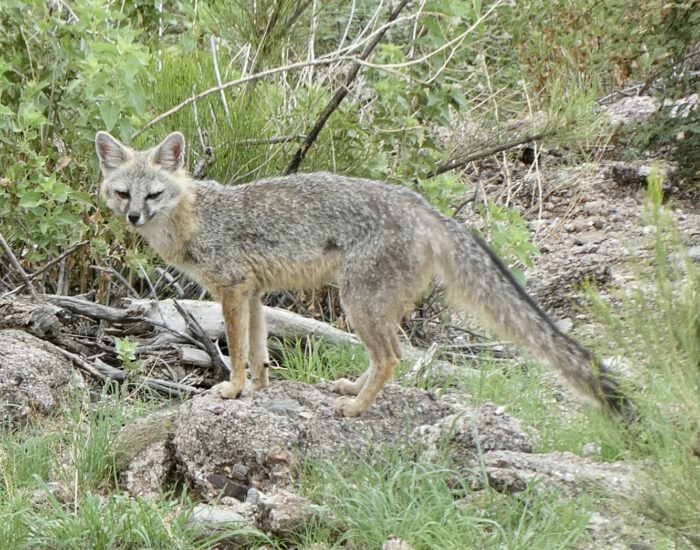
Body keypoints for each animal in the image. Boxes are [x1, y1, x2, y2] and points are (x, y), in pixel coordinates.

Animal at [95, 130, 631, 418]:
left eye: (154, 194)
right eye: (123, 194)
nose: (134, 218)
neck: (196, 216)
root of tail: (425, 207)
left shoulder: (232, 289)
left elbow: (240, 351)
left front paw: (232, 389)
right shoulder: (255, 292)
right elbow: (262, 351)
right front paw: (261, 391)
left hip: (358, 303)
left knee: (393, 357)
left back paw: (356, 409)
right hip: (369, 306)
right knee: (383, 356)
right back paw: (353, 390)